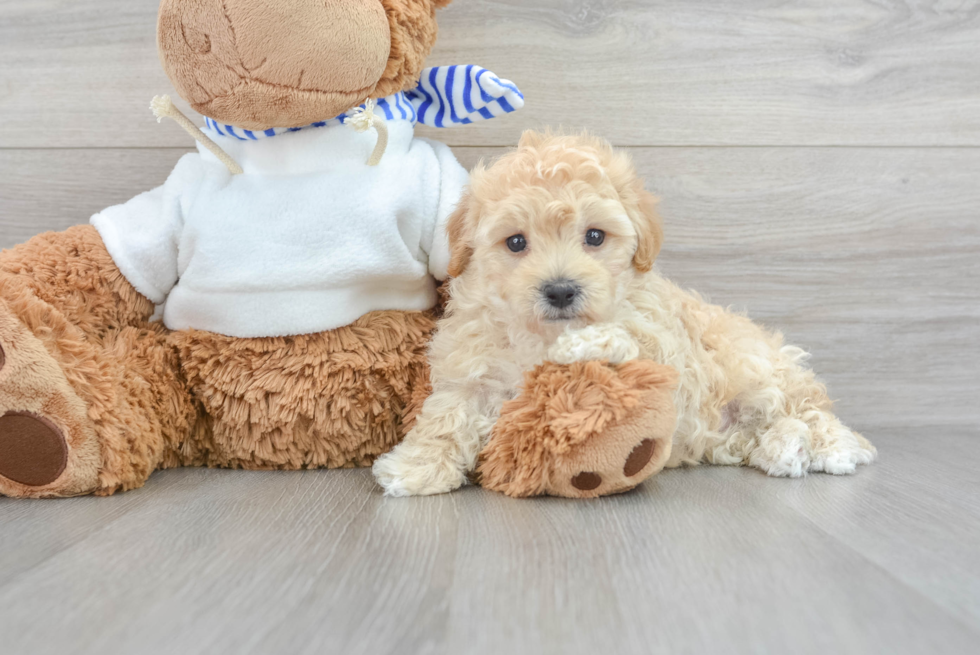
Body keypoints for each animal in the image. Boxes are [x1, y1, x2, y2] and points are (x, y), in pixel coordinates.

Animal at [372, 131, 876, 494]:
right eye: (515, 242)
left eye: (595, 236)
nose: (560, 290)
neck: (540, 335)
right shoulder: (471, 372)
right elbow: (446, 417)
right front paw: (416, 467)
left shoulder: (663, 353)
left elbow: (623, 345)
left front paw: (586, 343)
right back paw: (782, 449)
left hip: (756, 365)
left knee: (807, 406)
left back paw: (829, 447)